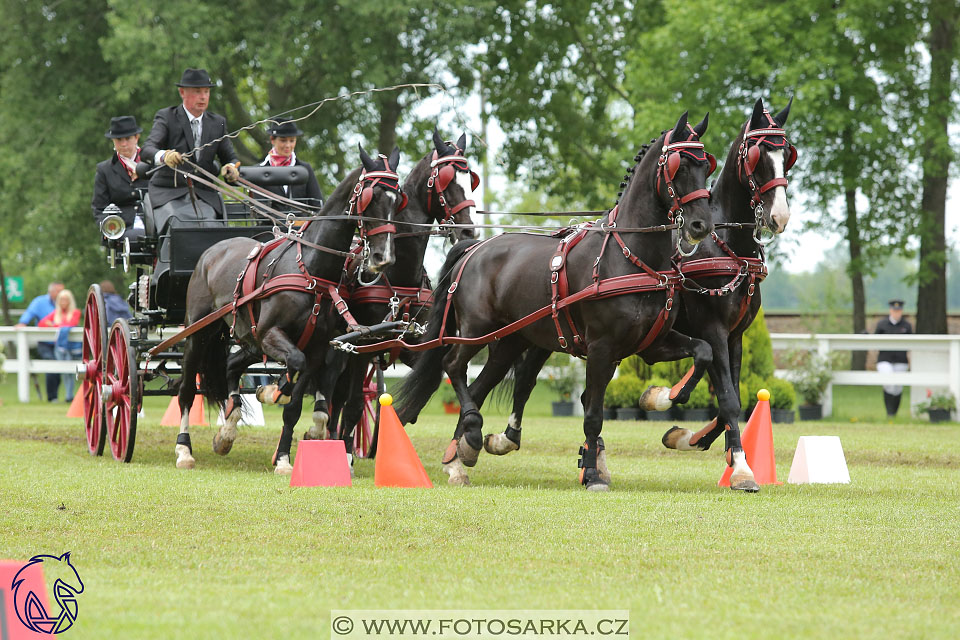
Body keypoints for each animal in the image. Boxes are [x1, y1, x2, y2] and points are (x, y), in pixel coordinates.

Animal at [176, 146, 404, 476]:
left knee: (231, 366)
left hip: (248, 338)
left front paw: (284, 455)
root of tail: (212, 250)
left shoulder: (317, 348)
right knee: (186, 390)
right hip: (200, 333)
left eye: (398, 199)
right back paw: (184, 449)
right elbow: (293, 365)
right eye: (369, 198)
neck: (311, 270)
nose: (382, 257)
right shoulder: (272, 334)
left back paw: (228, 430)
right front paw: (275, 393)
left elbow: (295, 405)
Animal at [306, 129, 480, 460]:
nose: (469, 232)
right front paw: (347, 454)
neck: (399, 278)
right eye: (446, 179)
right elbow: (353, 403)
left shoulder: (412, 343)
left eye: (470, 179)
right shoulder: (364, 345)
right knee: (337, 392)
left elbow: (433, 376)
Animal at [394, 112, 716, 490]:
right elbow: (592, 415)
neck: (630, 258)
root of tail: (475, 248)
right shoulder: (602, 348)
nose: (701, 225)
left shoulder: (651, 344)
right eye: (680, 166)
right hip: (476, 330)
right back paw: (469, 440)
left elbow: (704, 351)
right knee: (453, 366)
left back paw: (461, 455)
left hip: (509, 342)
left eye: (706, 165)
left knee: (477, 387)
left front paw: (664, 397)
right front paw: (592, 473)